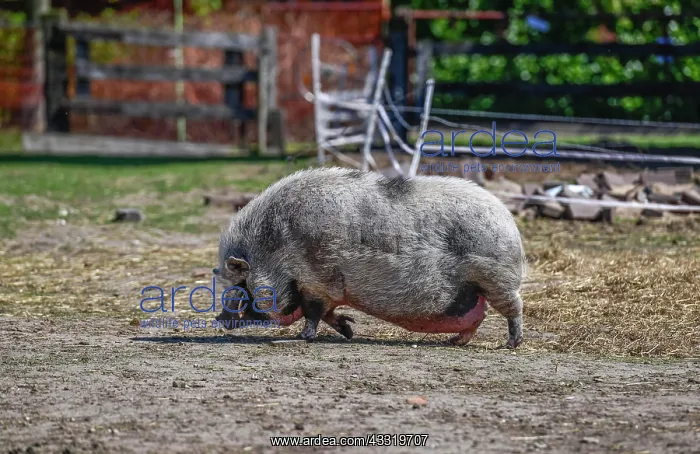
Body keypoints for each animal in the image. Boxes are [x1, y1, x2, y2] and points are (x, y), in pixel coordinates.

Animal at [214, 167, 527, 348]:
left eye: (240, 287)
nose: (220, 320)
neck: (275, 254)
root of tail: (508, 221)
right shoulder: (328, 290)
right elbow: (329, 314)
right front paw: (349, 331)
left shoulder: (316, 282)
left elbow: (314, 314)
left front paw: (301, 338)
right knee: (477, 317)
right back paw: (454, 341)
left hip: (497, 279)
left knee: (514, 309)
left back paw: (510, 345)